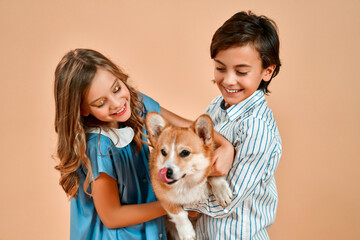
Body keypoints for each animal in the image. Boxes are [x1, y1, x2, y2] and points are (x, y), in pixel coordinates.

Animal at [145, 112, 232, 240]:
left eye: (185, 152)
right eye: (163, 152)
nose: (166, 172)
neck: (186, 182)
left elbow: (213, 175)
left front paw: (222, 193)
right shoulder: (164, 197)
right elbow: (179, 214)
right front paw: (187, 233)